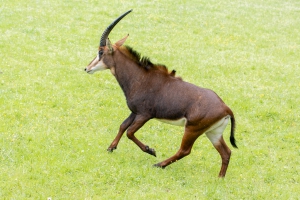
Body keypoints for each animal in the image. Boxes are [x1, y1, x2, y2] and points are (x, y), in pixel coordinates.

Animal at [85, 10, 239, 177]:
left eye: (100, 52)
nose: (87, 68)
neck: (140, 77)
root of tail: (226, 108)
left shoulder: (145, 114)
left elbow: (130, 132)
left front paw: (150, 150)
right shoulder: (134, 112)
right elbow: (123, 126)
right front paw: (111, 147)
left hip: (192, 129)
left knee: (185, 150)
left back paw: (159, 164)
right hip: (213, 133)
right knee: (226, 152)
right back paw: (220, 178)